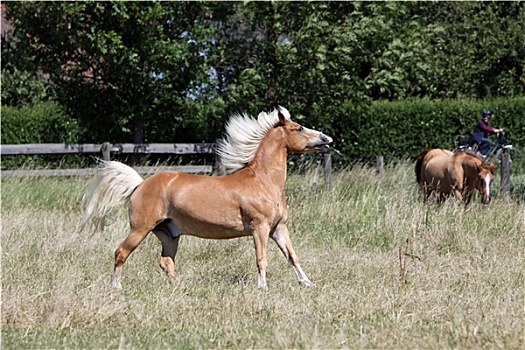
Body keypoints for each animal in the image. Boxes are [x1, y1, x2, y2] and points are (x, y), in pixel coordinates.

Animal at [84, 108, 334, 288]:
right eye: (299, 128)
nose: (327, 138)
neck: (262, 181)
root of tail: (140, 184)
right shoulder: (260, 227)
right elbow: (261, 258)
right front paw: (262, 288)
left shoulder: (279, 228)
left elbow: (292, 256)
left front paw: (307, 283)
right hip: (140, 228)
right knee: (121, 252)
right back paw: (117, 287)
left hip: (169, 235)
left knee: (166, 262)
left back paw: (181, 287)